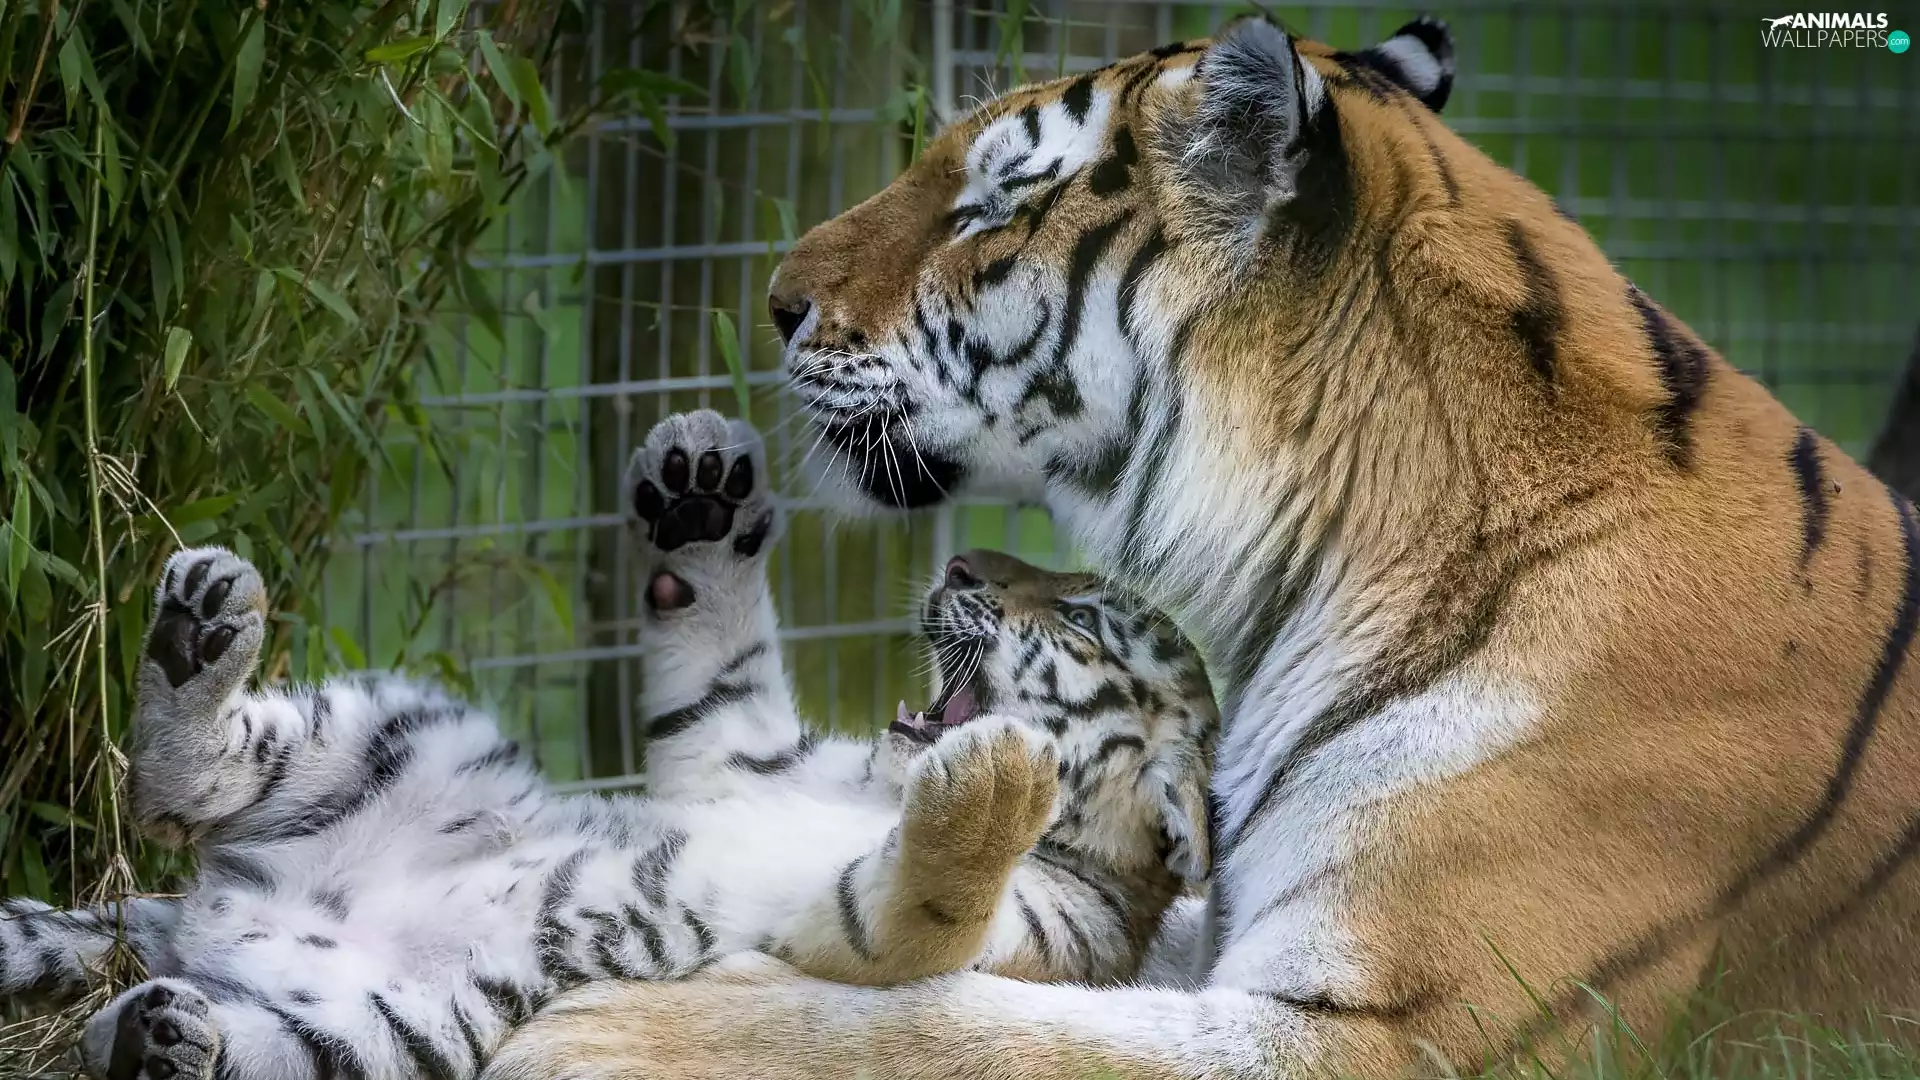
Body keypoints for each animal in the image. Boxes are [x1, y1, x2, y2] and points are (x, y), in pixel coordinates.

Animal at [0, 410, 1217, 1080]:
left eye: (1082, 618)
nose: (960, 565)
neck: (876, 788)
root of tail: (212, 917)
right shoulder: (724, 750)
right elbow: (717, 650)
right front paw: (702, 493)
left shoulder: (961, 944)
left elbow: (922, 900)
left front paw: (1002, 778)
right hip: (406, 735)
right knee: (180, 781)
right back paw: (198, 633)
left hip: (391, 1031)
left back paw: (156, 1040)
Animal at [484, 13, 1920, 1080]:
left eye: (988, 206)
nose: (776, 301)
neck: (1319, 562)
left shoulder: (1389, 1028)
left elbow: (962, 1025)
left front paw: (609, 1025)